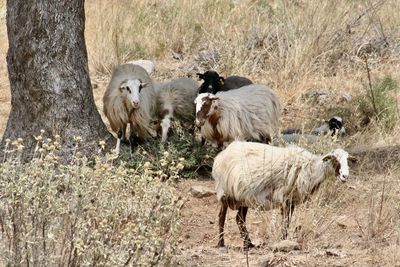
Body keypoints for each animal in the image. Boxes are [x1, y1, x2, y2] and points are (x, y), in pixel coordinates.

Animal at [212, 141, 354, 250]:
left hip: (243, 197)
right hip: (225, 192)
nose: (345, 176)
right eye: (335, 160)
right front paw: (283, 242)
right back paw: (221, 243)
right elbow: (285, 223)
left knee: (239, 219)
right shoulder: (285, 198)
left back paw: (249, 244)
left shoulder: (291, 200)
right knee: (221, 217)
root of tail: (222, 155)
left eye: (347, 160)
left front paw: (284, 241)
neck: (312, 169)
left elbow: (287, 222)